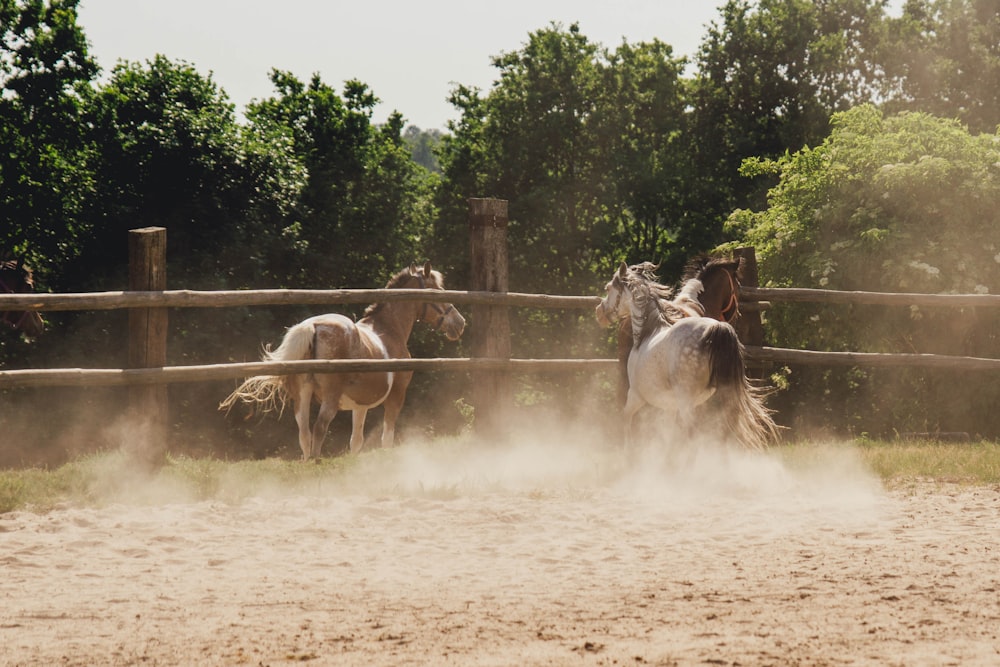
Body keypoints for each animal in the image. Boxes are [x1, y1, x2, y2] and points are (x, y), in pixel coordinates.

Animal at [219, 264, 464, 462]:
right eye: (438, 291)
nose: (459, 323)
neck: (388, 330)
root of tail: (313, 326)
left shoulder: (360, 405)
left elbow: (356, 441)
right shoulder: (396, 396)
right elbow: (386, 438)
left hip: (302, 396)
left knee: (304, 433)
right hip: (330, 398)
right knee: (319, 428)